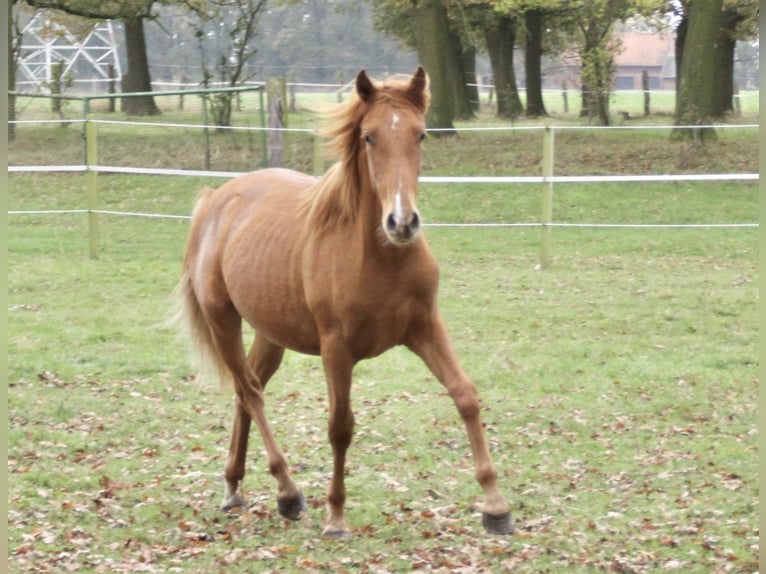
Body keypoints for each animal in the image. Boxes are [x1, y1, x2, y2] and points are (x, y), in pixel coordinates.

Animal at [178, 67, 516, 540]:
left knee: (247, 392)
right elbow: (340, 426)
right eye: (369, 137)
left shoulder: (426, 328)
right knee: (250, 391)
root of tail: (215, 200)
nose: (402, 223)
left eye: (421, 134)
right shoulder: (337, 349)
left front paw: (496, 505)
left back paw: (234, 487)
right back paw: (288, 492)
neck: (381, 258)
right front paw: (336, 516)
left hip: (270, 333)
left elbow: (465, 395)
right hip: (222, 320)